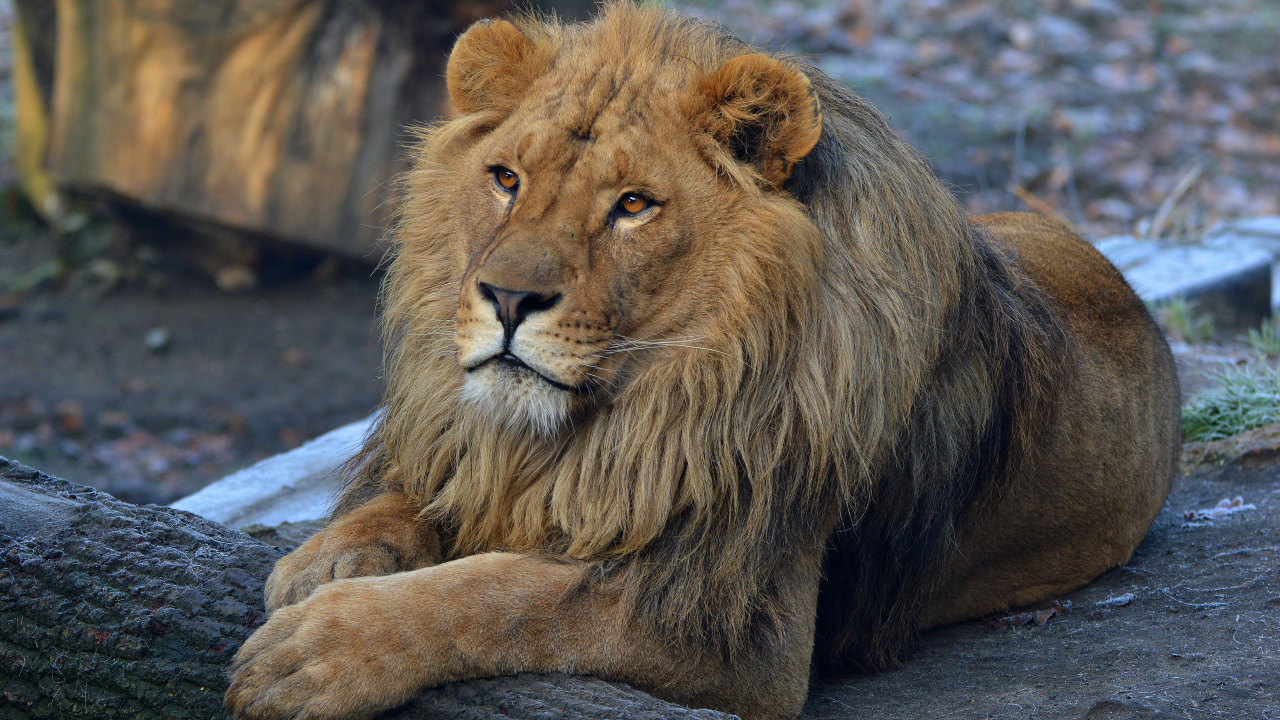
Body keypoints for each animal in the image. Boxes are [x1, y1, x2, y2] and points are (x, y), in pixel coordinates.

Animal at [225, 4, 1180, 719]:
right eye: (505, 179)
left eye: (633, 205)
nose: (506, 299)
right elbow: (418, 497)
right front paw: (326, 561)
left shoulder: (737, 618)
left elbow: (505, 595)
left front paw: (320, 649)